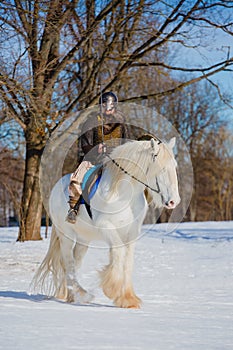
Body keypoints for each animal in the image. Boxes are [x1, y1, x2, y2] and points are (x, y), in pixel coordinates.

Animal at [32, 138, 180, 308]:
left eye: (174, 166)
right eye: (162, 168)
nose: (173, 201)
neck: (124, 193)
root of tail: (56, 188)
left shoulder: (132, 233)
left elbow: (128, 261)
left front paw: (128, 299)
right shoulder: (106, 227)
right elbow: (118, 253)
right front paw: (113, 289)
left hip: (83, 240)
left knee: (75, 263)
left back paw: (72, 296)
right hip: (66, 237)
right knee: (68, 264)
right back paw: (83, 294)